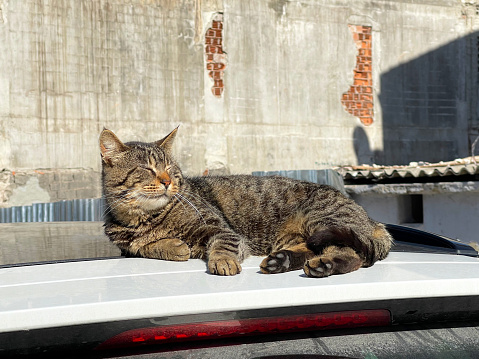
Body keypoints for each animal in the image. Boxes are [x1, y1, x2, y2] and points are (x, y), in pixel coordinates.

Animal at [99, 128, 392, 278]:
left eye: (171, 169)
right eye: (147, 169)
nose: (168, 181)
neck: (145, 219)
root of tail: (370, 219)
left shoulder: (221, 229)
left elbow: (222, 245)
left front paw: (221, 261)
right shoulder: (126, 248)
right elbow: (142, 247)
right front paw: (173, 246)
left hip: (322, 218)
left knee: (354, 253)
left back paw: (325, 265)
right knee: (312, 248)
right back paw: (282, 261)